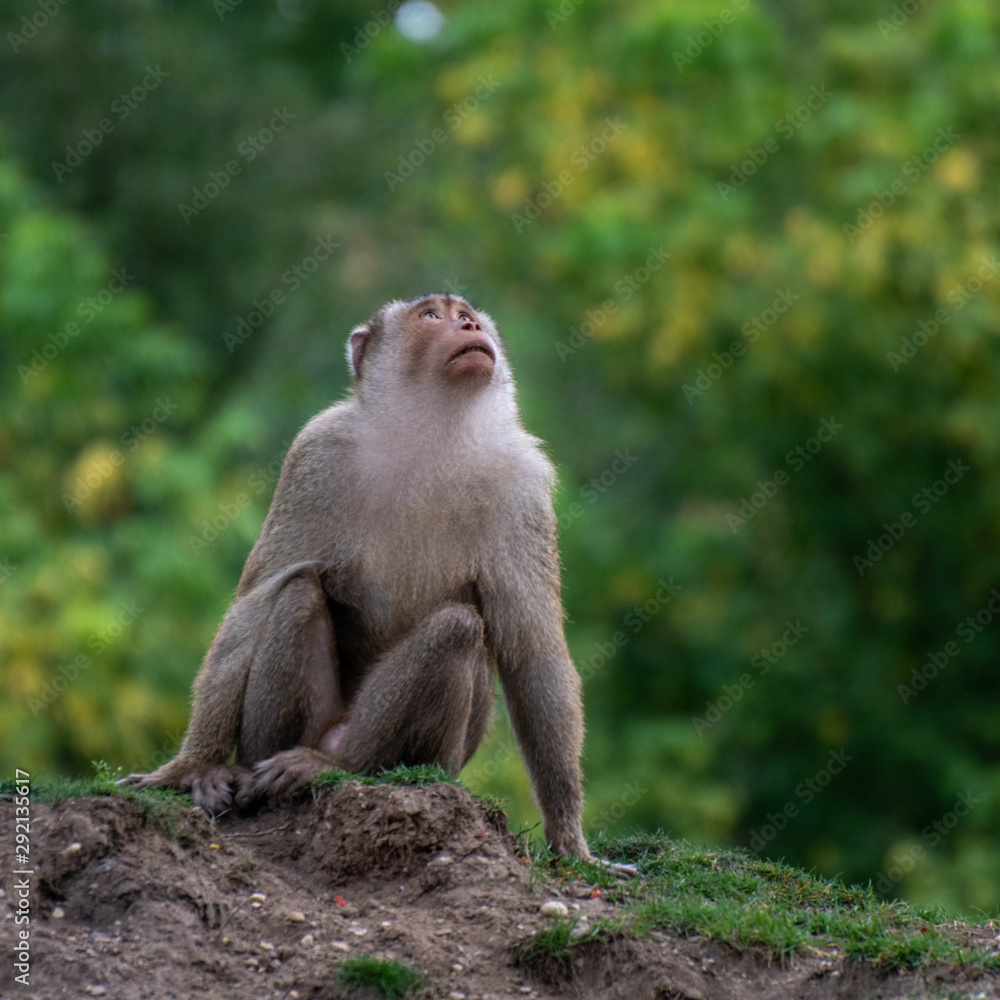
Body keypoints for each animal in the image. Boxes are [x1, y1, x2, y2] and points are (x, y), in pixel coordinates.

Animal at [121, 294, 589, 858]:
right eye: (432, 316)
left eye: (467, 314)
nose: (470, 327)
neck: (430, 436)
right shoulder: (316, 454)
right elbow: (257, 596)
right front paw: (193, 765)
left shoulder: (525, 487)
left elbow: (533, 651)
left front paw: (569, 839)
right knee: (297, 591)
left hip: (441, 762)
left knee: (456, 628)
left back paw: (345, 766)